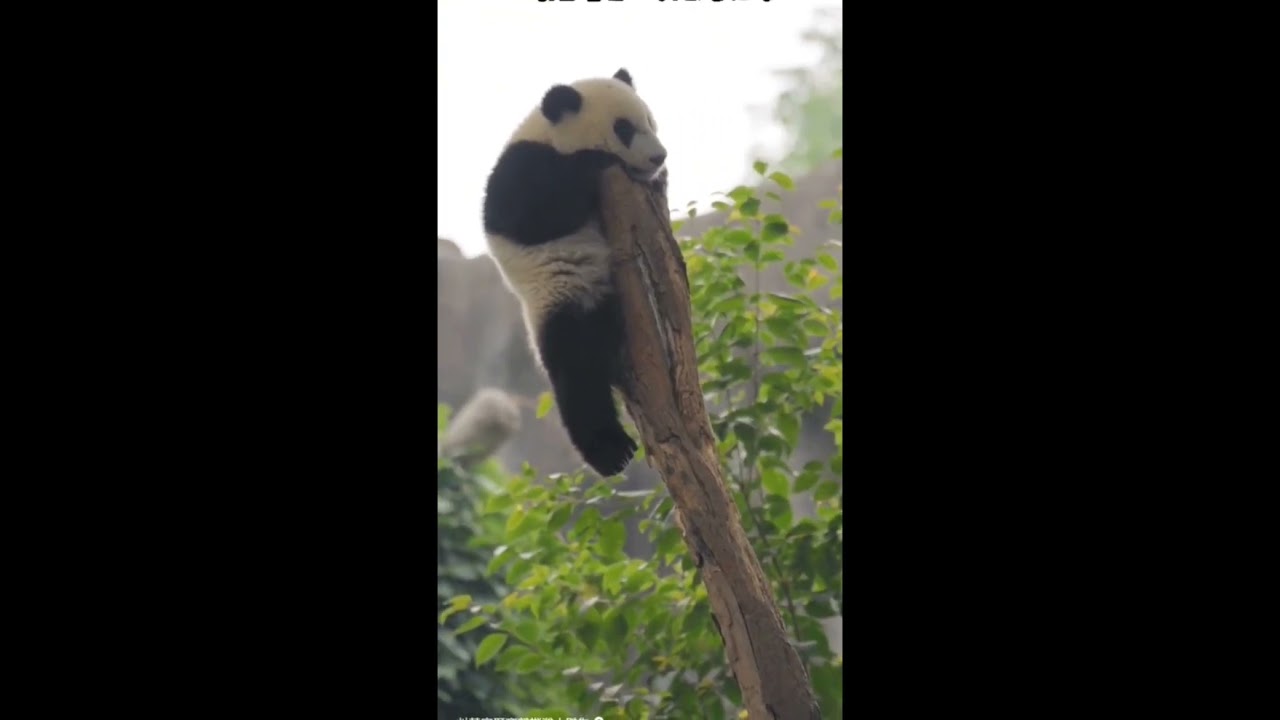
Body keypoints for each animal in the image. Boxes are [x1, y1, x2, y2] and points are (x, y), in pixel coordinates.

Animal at [482, 68, 668, 478]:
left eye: (651, 121)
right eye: (623, 128)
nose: (659, 156)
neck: (551, 136)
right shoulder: (520, 168)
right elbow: (529, 214)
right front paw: (594, 160)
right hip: (561, 298)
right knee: (578, 375)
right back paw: (611, 453)